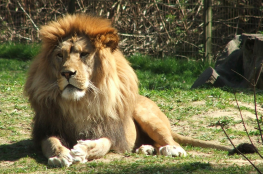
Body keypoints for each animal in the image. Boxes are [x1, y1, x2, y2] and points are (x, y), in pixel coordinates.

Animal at [25, 13, 239, 167]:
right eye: (60, 55)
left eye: (84, 54)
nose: (67, 73)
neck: (80, 102)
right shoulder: (47, 128)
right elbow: (51, 142)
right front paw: (60, 156)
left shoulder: (112, 132)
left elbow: (102, 144)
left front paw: (84, 149)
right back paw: (146, 149)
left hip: (146, 115)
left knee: (173, 142)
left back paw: (170, 150)